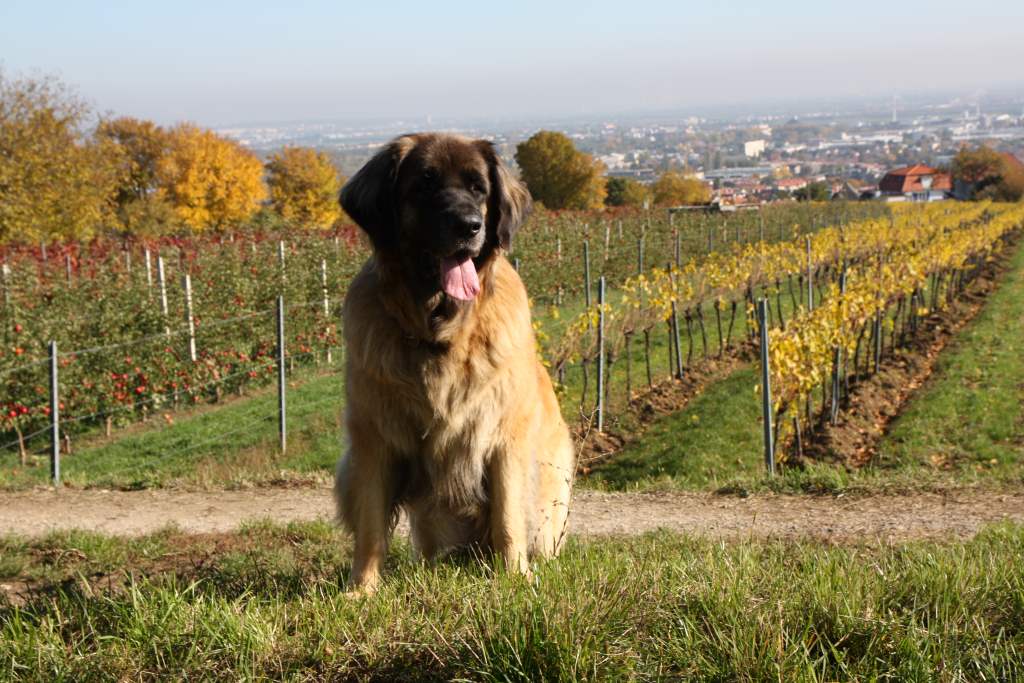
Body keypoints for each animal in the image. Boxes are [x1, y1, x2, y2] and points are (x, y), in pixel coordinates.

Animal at [335, 133, 577, 593]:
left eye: (478, 189)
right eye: (425, 185)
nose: (469, 226)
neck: (440, 334)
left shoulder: (504, 436)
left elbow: (507, 516)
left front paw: (515, 577)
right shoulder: (374, 439)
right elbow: (371, 527)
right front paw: (362, 589)